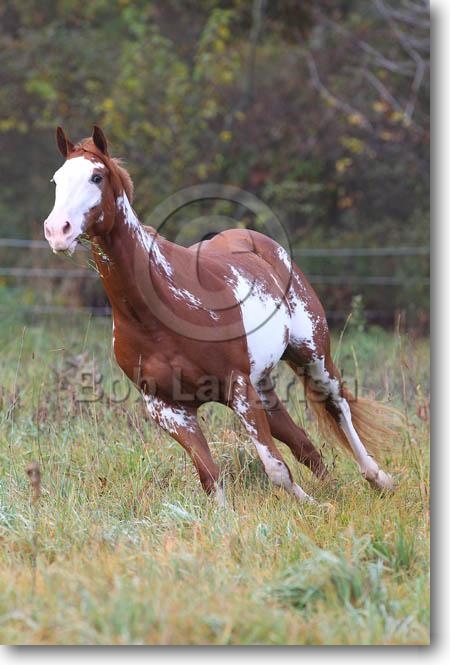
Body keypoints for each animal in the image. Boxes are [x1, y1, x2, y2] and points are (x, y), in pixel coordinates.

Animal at [43, 126, 399, 505]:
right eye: (56, 179)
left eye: (96, 177)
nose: (58, 231)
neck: (155, 315)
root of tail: (259, 242)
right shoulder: (168, 409)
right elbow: (211, 478)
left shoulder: (237, 386)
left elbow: (276, 469)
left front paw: (314, 506)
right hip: (263, 384)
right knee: (301, 440)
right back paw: (334, 488)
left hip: (311, 354)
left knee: (337, 404)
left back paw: (378, 478)